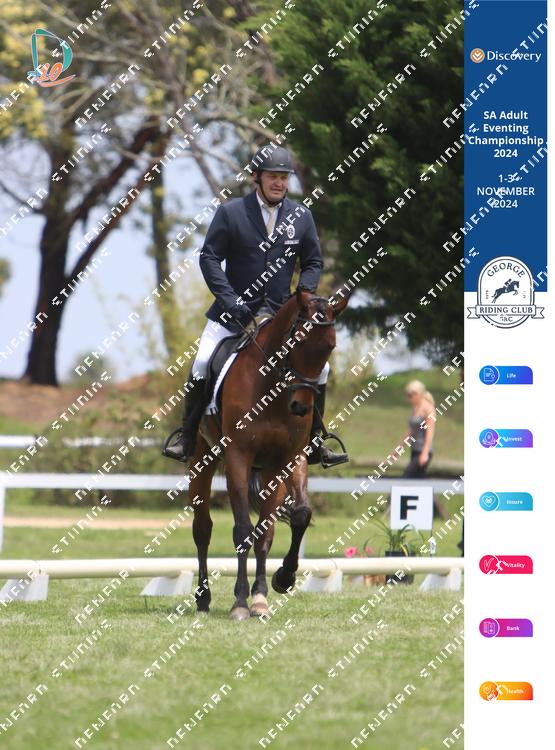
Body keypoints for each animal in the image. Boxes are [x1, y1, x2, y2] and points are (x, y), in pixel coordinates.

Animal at [187, 287, 349, 620]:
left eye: (330, 347)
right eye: (295, 341)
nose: (301, 407)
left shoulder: (290, 457)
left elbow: (292, 519)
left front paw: (276, 584)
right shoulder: (238, 456)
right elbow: (242, 531)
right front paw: (239, 602)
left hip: (267, 473)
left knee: (267, 527)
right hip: (202, 459)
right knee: (202, 528)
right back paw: (203, 597)